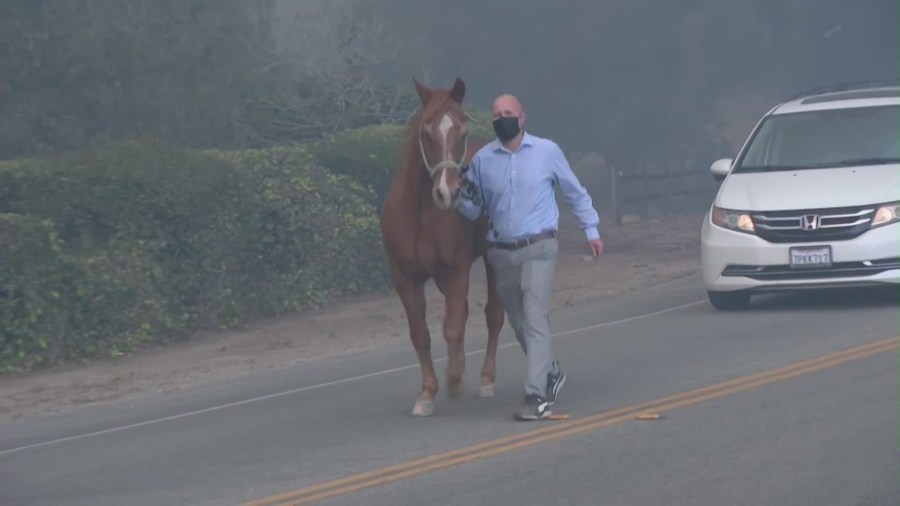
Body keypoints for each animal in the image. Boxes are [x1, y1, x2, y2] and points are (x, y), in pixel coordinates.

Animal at [380, 75, 506, 416]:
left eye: (462, 131)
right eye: (426, 132)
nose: (447, 193)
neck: (420, 213)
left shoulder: (456, 269)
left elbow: (452, 326)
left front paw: (454, 381)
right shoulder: (405, 277)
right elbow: (420, 334)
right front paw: (427, 393)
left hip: (491, 259)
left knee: (493, 314)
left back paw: (486, 378)